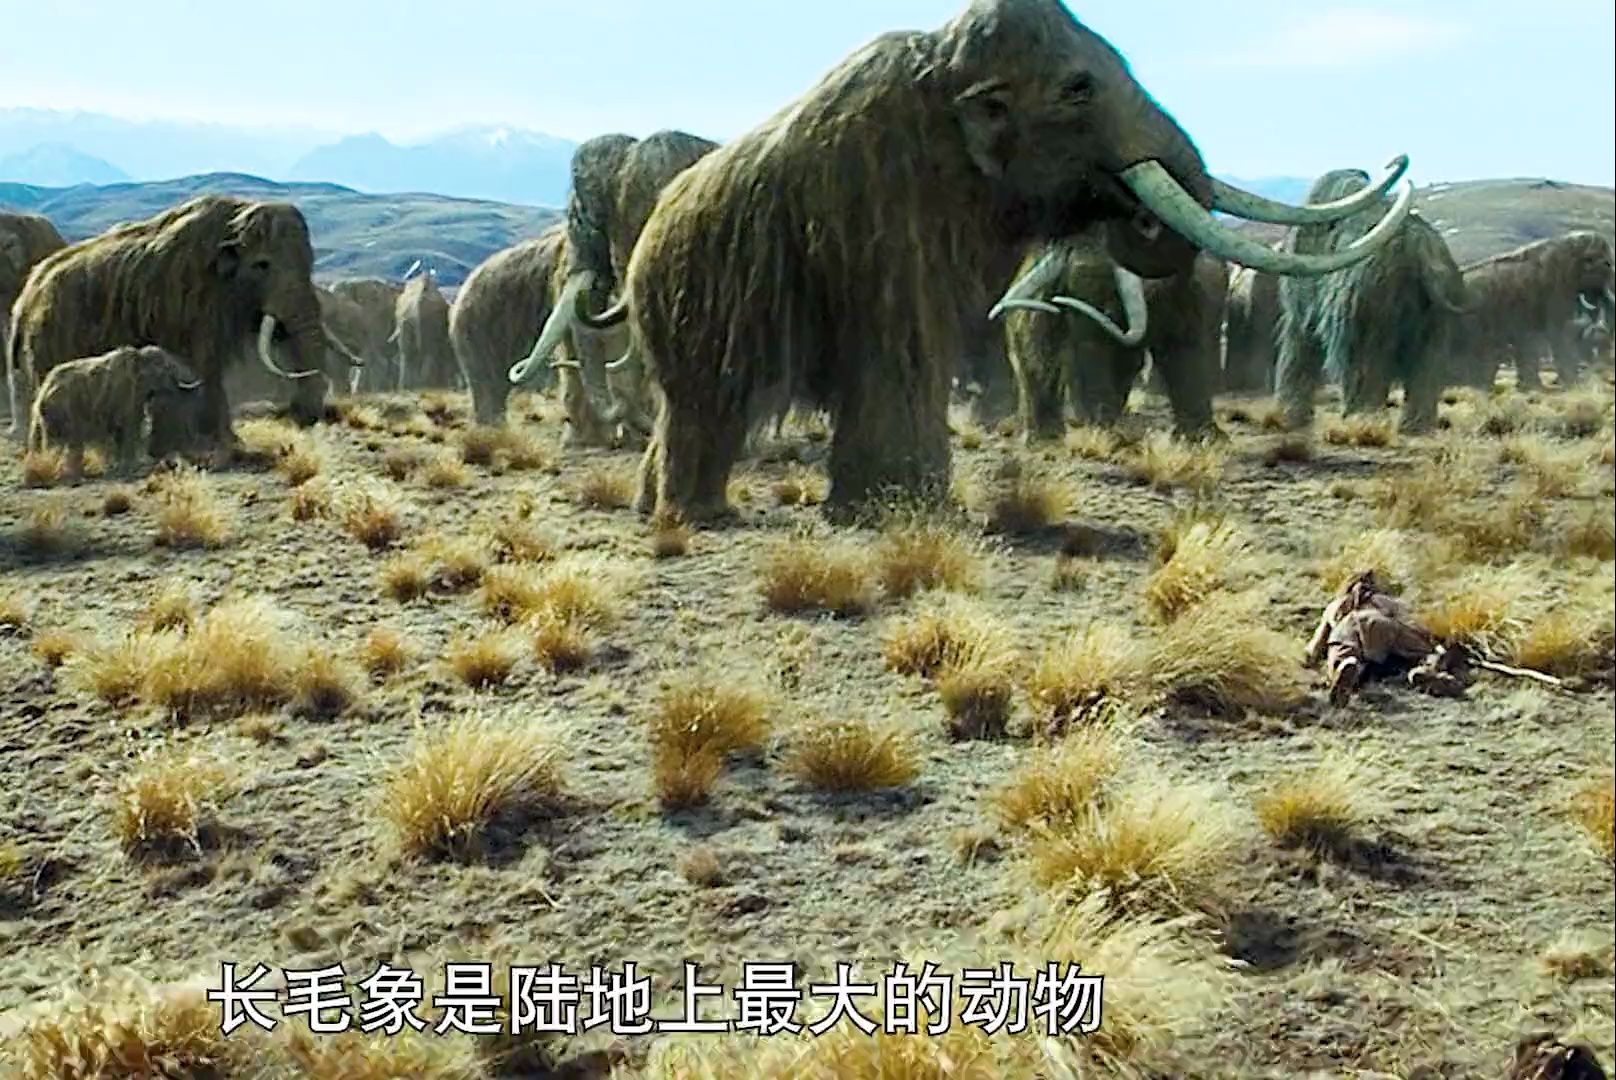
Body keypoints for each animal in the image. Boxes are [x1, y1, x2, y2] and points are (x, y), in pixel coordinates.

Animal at [1276, 170, 1469, 434]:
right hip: (1435, 321)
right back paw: (1414, 427)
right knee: (1426, 370)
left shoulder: (1302, 308)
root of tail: (1422, 252)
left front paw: (1292, 417)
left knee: (1364, 369)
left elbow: (1299, 347)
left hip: (1367, 315)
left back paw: (1360, 421)